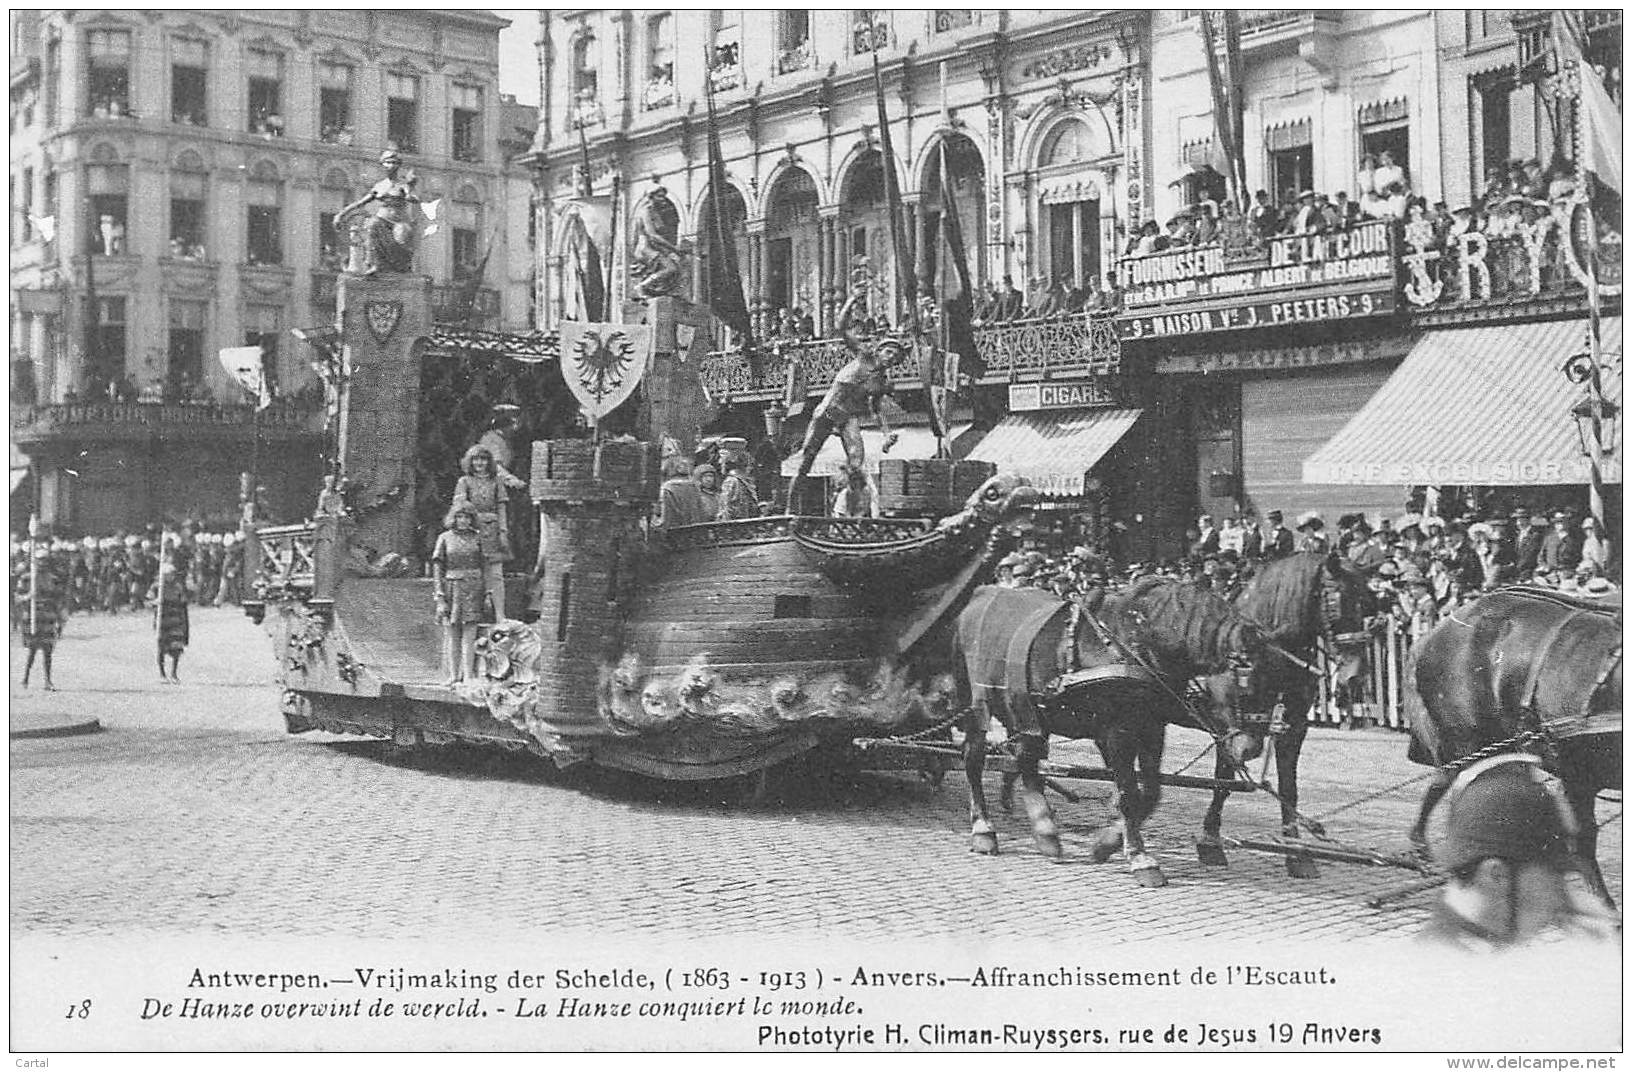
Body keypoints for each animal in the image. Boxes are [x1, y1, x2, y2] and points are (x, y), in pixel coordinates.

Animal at [953, 577, 1259, 887]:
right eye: (1246, 685)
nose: (1251, 748)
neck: (1136, 642)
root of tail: (980, 593)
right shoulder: (1117, 733)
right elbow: (1128, 794)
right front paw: (1139, 858)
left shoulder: (1152, 728)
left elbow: (1150, 792)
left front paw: (1107, 842)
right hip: (976, 707)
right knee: (974, 760)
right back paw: (984, 829)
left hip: (1027, 711)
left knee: (1026, 761)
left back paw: (1045, 832)